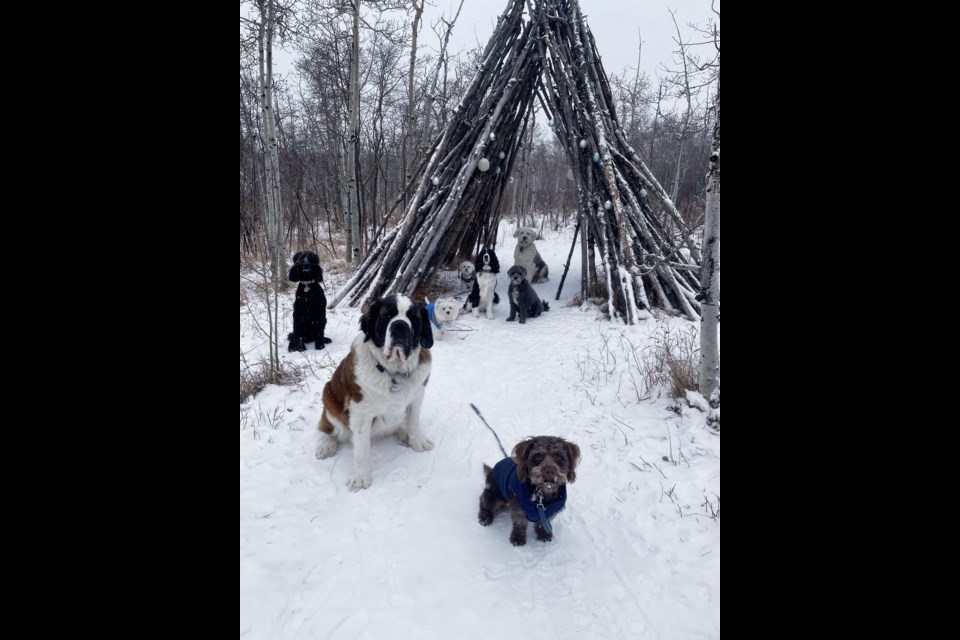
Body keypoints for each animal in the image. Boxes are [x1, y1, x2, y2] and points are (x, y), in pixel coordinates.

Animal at [316, 292, 436, 492]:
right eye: (387, 315)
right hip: (328, 399)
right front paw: (360, 478)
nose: (400, 325)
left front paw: (417, 443)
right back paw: (326, 446)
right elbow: (362, 450)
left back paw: (403, 434)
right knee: (330, 431)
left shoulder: (417, 397)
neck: (393, 373)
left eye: (413, 317)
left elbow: (413, 423)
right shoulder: (361, 413)